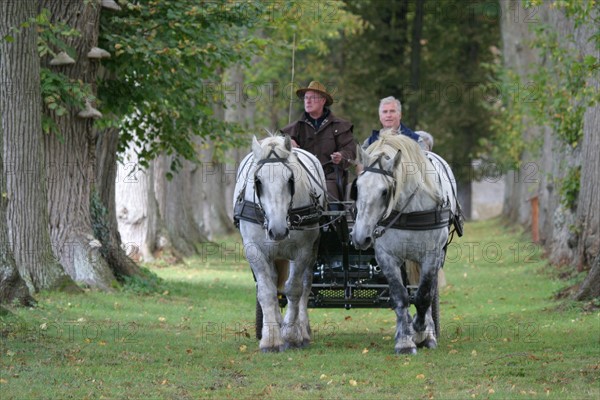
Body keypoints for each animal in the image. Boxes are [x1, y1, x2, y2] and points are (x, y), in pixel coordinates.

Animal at [232, 134, 326, 350]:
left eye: (290, 179)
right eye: (258, 181)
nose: (278, 230)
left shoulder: (302, 251)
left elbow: (294, 289)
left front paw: (291, 335)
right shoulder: (254, 250)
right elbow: (266, 292)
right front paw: (272, 339)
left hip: (312, 249)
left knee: (305, 285)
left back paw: (302, 330)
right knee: (274, 284)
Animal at [350, 130, 462, 354]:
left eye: (385, 191)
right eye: (357, 187)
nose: (360, 237)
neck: (409, 210)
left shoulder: (431, 255)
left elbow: (424, 295)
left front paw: (421, 332)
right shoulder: (386, 256)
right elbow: (400, 296)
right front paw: (404, 340)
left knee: (426, 290)